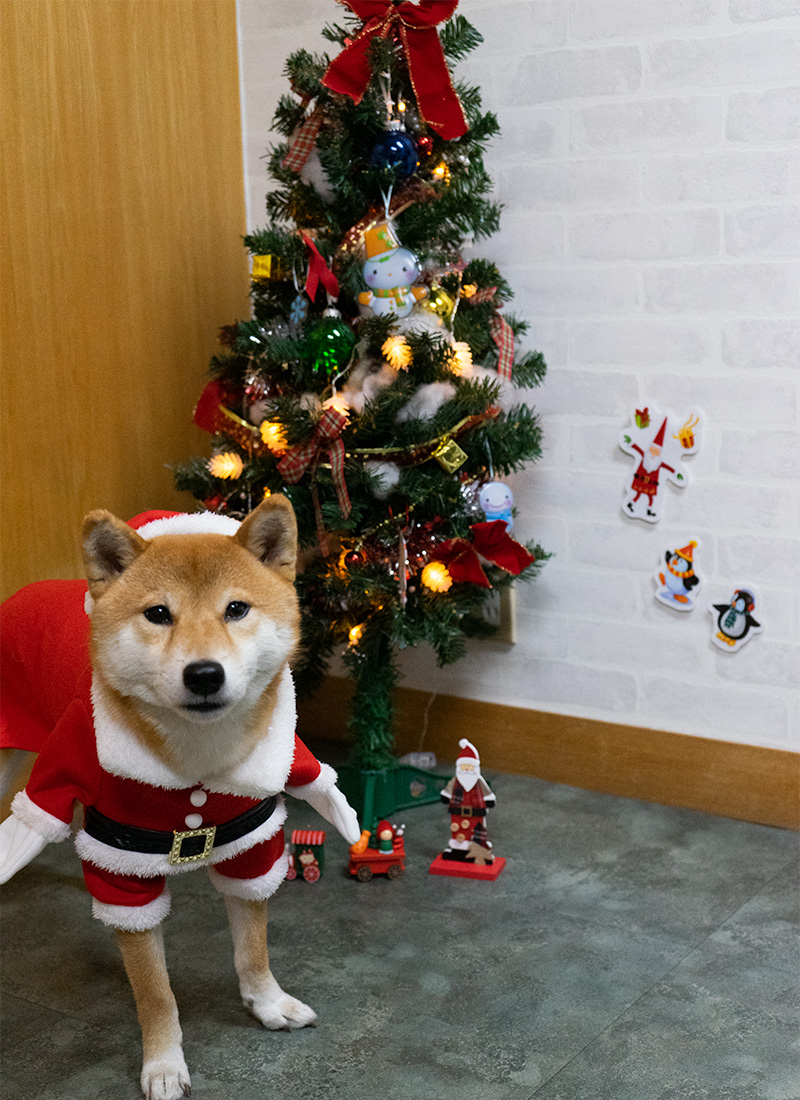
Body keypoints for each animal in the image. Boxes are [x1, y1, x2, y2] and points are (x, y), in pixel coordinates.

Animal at [0, 499, 360, 1100]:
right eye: (158, 614)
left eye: (236, 609)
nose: (205, 674)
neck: (197, 764)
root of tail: (24, 591)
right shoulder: (125, 870)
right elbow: (156, 994)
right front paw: (164, 1062)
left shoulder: (252, 845)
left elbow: (253, 949)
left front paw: (267, 1002)